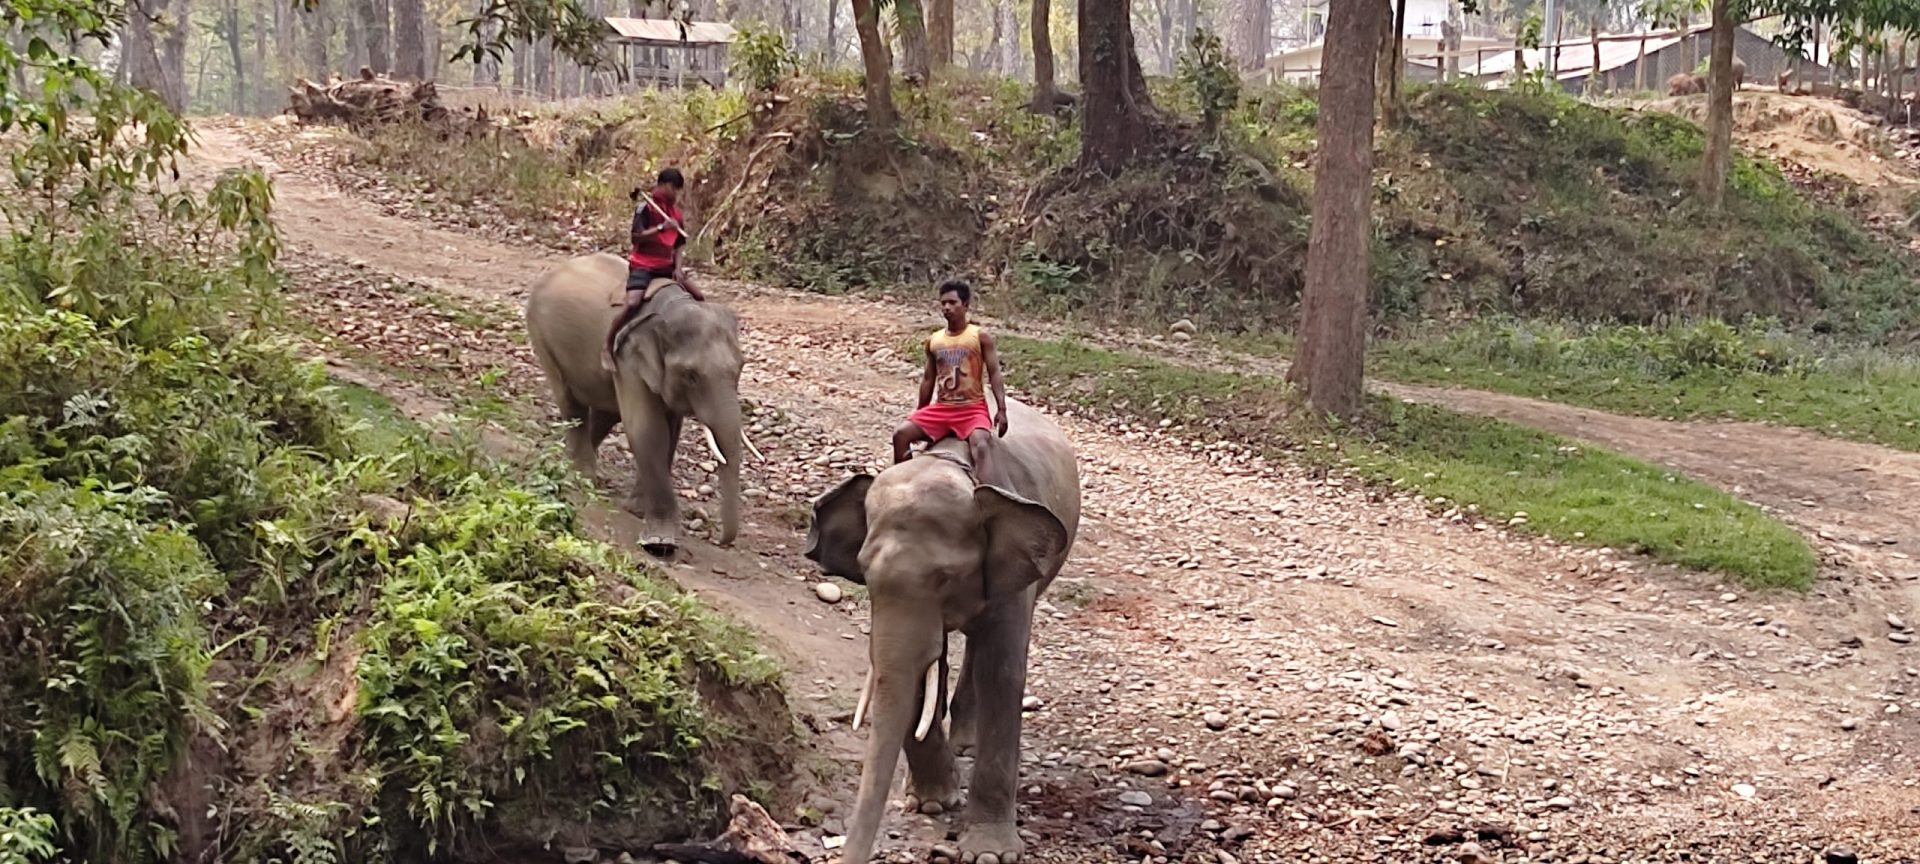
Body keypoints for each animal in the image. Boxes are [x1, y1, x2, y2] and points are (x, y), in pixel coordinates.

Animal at [529, 253, 744, 556]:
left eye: (740, 368)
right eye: (690, 376)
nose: (720, 542)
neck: (672, 307)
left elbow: (669, 432)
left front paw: (637, 511)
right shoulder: (628, 358)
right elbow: (647, 430)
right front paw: (659, 543)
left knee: (605, 414)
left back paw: (573, 467)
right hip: (542, 335)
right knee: (572, 405)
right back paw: (582, 476)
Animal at [802, 401, 1082, 864]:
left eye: (946, 577)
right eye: (865, 572)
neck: (948, 465)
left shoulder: (1013, 575)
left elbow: (1002, 672)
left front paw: (989, 854)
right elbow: (920, 668)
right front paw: (933, 803)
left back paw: (966, 745)